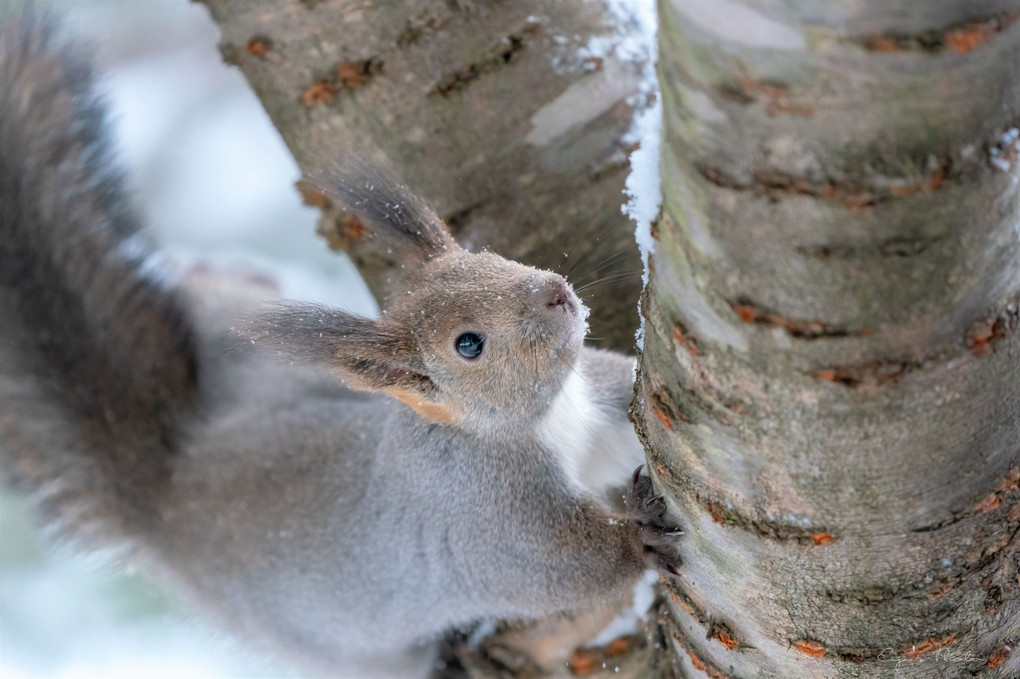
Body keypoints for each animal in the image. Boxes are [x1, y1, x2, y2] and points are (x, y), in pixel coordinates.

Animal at [1, 6, 685, 676]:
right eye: (468, 345)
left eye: (487, 256)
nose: (556, 294)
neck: (546, 417)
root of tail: (168, 495)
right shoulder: (486, 513)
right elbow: (561, 566)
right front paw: (638, 540)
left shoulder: (591, 401)